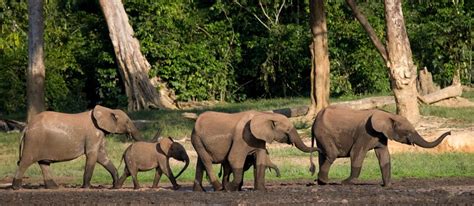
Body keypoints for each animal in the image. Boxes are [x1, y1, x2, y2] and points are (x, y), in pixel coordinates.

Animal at [11, 105, 141, 189]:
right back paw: (16, 187)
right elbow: (92, 155)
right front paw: (86, 187)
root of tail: (26, 127)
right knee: (25, 161)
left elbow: (102, 157)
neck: (107, 110)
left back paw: (53, 188)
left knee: (44, 163)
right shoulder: (93, 134)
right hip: (33, 141)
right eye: (127, 122)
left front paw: (115, 185)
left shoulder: (98, 134)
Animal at [190, 111, 318, 192]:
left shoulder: (259, 138)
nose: (312, 169)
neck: (264, 115)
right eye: (287, 129)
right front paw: (229, 188)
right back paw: (219, 188)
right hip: (196, 138)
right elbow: (234, 159)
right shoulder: (241, 137)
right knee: (207, 161)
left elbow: (260, 160)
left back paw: (199, 190)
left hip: (198, 140)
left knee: (200, 162)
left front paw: (261, 190)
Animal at [312, 105, 452, 187]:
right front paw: (345, 182)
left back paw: (321, 182)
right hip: (323, 133)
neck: (389, 115)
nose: (450, 132)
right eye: (407, 132)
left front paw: (388, 185)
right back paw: (327, 182)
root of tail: (315, 119)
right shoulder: (365, 133)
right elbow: (356, 153)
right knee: (332, 154)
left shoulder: (381, 135)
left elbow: (384, 156)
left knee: (323, 155)